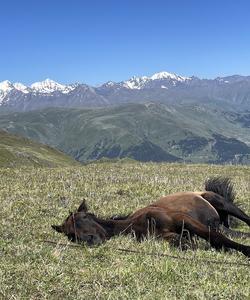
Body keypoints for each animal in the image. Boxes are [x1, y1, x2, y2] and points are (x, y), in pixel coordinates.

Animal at [51, 177, 250, 256]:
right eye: (70, 235)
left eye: (84, 218)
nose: (90, 240)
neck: (136, 222)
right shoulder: (163, 236)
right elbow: (179, 241)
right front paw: (188, 242)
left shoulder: (184, 220)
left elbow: (216, 238)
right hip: (222, 223)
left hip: (221, 203)